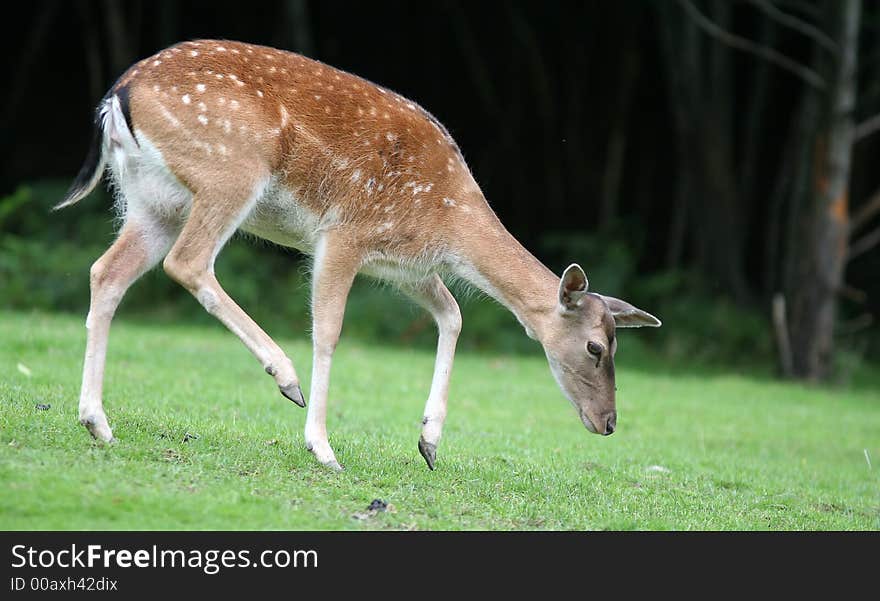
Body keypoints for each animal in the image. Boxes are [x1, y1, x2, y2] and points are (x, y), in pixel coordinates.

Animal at [56, 39, 660, 472]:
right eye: (595, 348)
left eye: (616, 344)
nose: (609, 422)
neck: (448, 221)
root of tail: (117, 95)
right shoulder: (343, 235)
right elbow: (328, 331)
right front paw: (322, 448)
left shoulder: (406, 268)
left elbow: (453, 315)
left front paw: (429, 443)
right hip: (229, 171)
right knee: (187, 262)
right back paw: (285, 378)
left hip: (151, 200)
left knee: (106, 272)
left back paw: (97, 422)